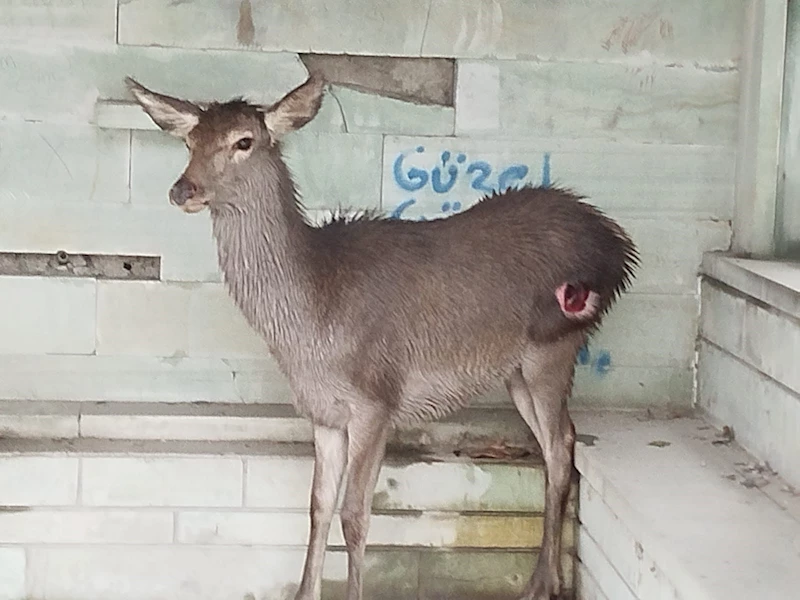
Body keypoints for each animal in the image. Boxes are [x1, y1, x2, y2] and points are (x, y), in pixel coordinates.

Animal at [125, 75, 636, 600]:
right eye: (189, 141)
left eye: (243, 141)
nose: (182, 189)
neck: (313, 321)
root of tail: (617, 245)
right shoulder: (323, 412)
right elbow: (318, 506)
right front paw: (305, 592)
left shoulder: (376, 400)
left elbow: (355, 515)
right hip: (516, 370)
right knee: (561, 443)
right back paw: (545, 578)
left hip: (554, 345)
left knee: (559, 447)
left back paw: (543, 583)